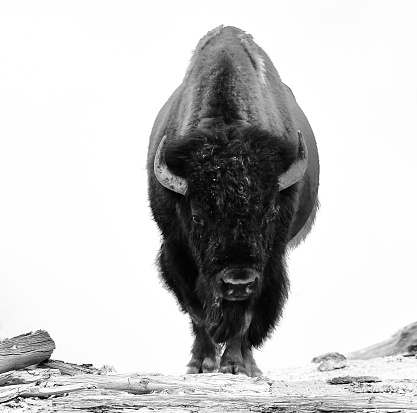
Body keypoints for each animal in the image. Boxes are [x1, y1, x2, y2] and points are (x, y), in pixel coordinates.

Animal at [147, 24, 318, 374]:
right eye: (198, 215)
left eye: (268, 213)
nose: (237, 282)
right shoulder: (175, 250)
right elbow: (197, 310)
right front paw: (200, 364)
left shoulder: (268, 261)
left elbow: (247, 316)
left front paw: (235, 366)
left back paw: (249, 365)